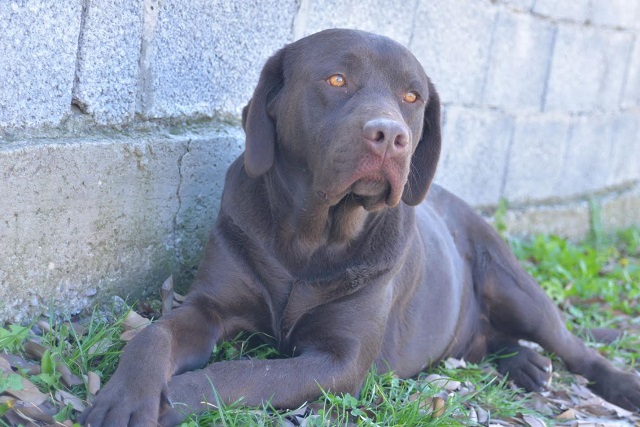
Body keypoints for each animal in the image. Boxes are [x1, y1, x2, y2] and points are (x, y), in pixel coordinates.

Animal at [81, 28, 640, 426]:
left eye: (412, 98)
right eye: (336, 80)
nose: (389, 135)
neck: (311, 240)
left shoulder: (339, 361)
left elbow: (246, 373)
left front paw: (173, 400)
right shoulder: (209, 305)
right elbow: (153, 335)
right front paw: (127, 397)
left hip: (517, 289)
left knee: (575, 348)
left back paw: (617, 384)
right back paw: (522, 362)